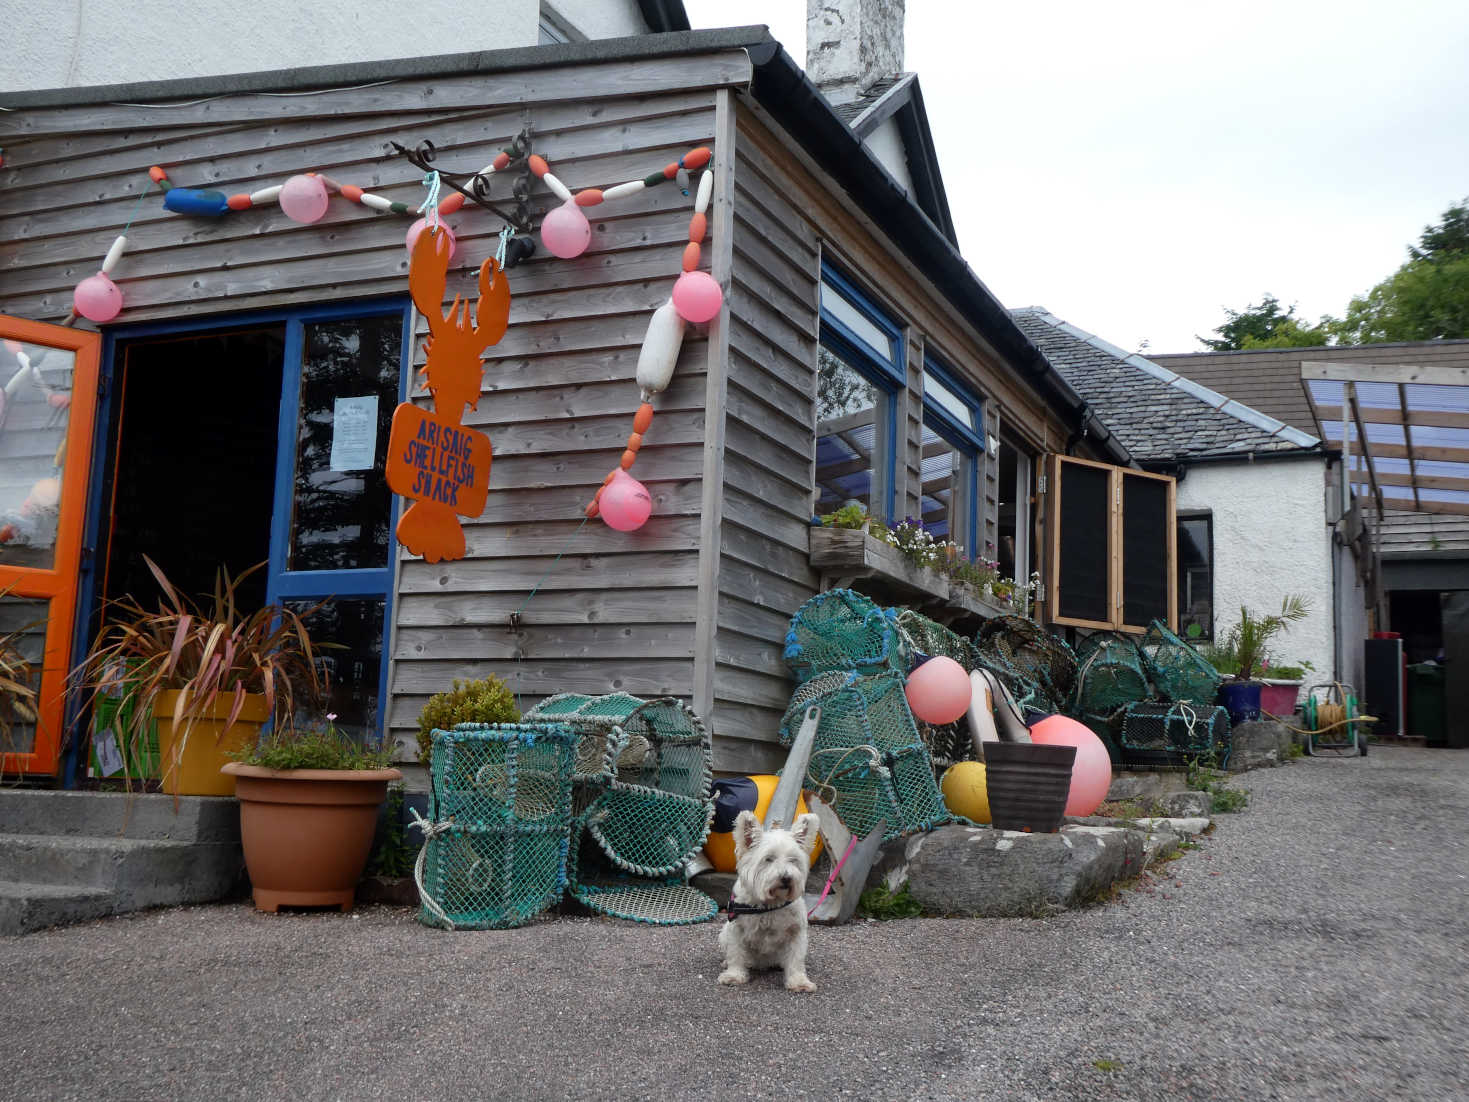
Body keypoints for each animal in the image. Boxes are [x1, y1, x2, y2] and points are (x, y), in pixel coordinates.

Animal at [716, 805, 822, 999]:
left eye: (793, 860)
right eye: (769, 859)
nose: (786, 878)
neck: (769, 905)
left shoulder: (796, 932)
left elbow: (795, 959)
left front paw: (799, 982)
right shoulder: (736, 929)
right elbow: (736, 953)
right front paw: (734, 975)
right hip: (723, 933)